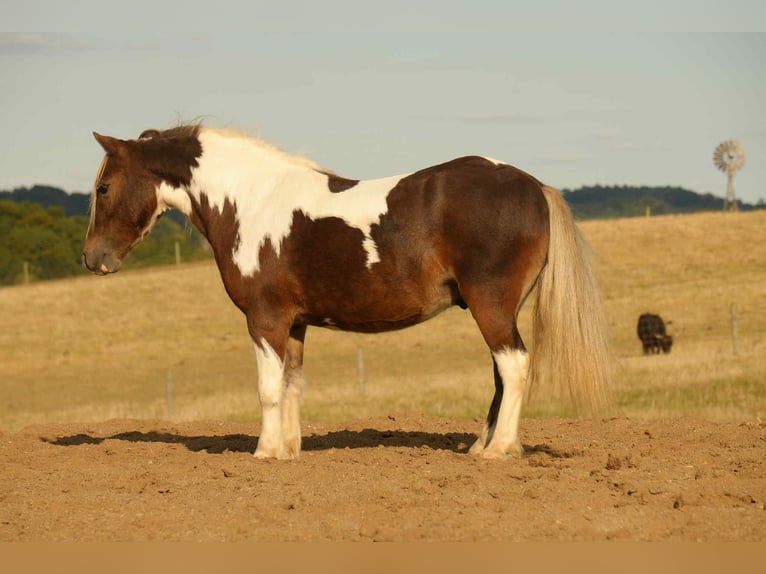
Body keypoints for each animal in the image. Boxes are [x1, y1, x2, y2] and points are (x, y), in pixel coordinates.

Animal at [82, 123, 611, 460]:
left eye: (104, 187)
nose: (93, 259)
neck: (252, 201)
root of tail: (533, 185)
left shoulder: (265, 319)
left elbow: (268, 388)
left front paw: (263, 452)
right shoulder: (295, 323)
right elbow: (292, 385)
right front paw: (288, 451)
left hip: (491, 306)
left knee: (514, 367)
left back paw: (498, 452)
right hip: (497, 310)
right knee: (503, 375)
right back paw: (483, 445)